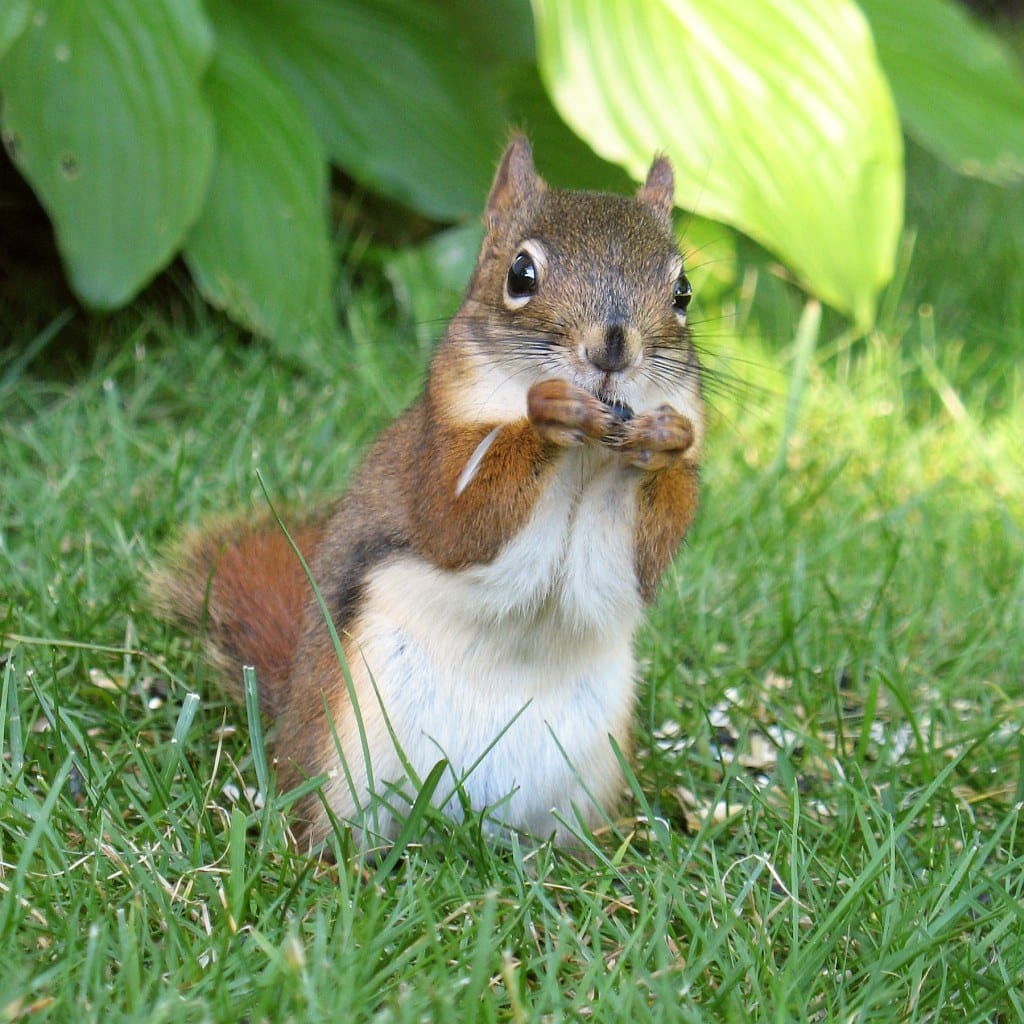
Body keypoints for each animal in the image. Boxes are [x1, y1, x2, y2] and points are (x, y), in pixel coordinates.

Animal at [151, 138, 708, 856]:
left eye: (683, 291)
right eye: (520, 274)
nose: (613, 345)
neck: (590, 456)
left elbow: (645, 558)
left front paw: (665, 438)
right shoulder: (430, 459)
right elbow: (458, 521)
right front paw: (547, 413)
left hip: (587, 770)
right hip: (344, 751)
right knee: (324, 829)